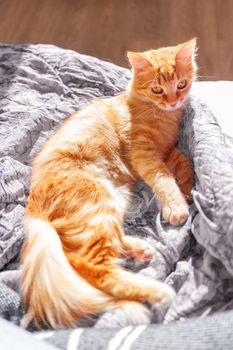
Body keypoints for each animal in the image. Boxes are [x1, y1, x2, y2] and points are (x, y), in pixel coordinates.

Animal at [21, 38, 197, 328]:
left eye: (181, 84)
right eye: (157, 89)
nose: (174, 101)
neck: (161, 117)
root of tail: (33, 207)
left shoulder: (168, 150)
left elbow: (185, 164)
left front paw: (187, 189)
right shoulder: (145, 155)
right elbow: (164, 179)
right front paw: (177, 206)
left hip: (113, 202)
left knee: (100, 249)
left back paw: (139, 250)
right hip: (97, 204)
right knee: (93, 269)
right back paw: (158, 291)